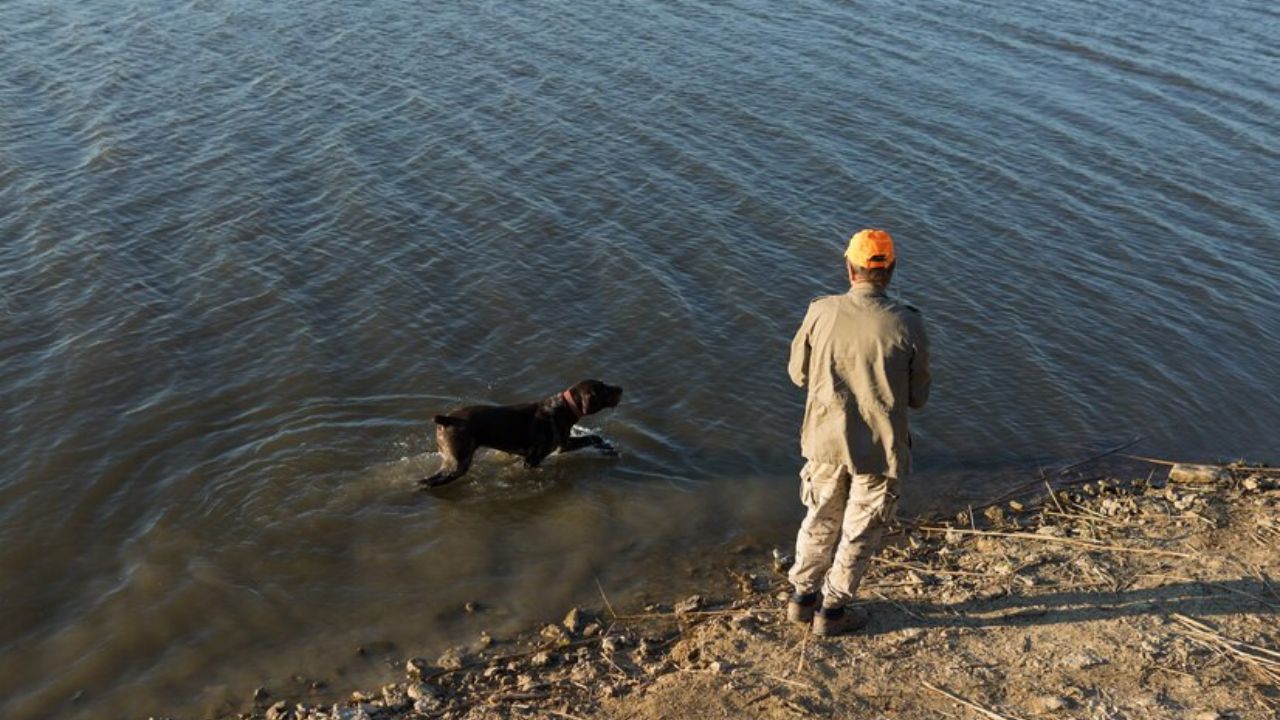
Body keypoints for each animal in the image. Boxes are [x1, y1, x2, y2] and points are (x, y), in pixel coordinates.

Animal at [419, 376, 624, 486]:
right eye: (604, 389)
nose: (621, 388)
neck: (563, 408)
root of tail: (446, 419)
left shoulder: (563, 444)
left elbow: (594, 437)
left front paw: (608, 447)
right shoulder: (533, 460)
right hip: (458, 463)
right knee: (429, 481)